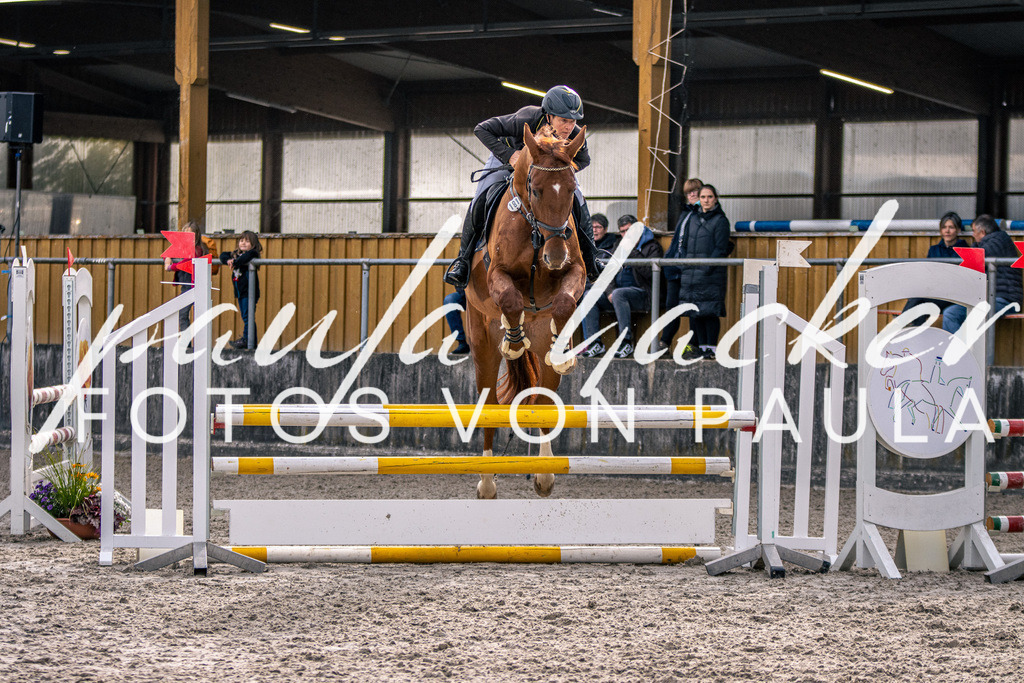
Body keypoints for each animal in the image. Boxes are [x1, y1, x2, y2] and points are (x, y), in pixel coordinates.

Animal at [463, 123, 588, 499]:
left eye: (572, 190)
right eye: (535, 189)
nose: (554, 256)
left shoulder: (576, 271)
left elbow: (564, 300)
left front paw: (562, 349)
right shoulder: (496, 273)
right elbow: (511, 298)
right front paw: (514, 341)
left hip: (540, 340)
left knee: (546, 401)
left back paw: (544, 475)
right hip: (481, 342)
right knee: (488, 403)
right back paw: (487, 482)